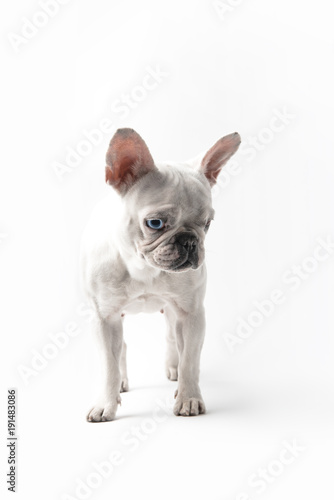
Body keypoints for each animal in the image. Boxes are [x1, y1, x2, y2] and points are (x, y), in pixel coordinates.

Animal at [79, 127, 239, 420]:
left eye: (207, 224)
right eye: (155, 223)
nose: (189, 241)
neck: (144, 269)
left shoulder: (191, 314)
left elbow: (190, 361)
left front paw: (188, 398)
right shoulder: (104, 318)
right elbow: (108, 365)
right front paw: (106, 402)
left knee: (172, 338)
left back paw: (173, 368)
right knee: (121, 349)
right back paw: (121, 382)